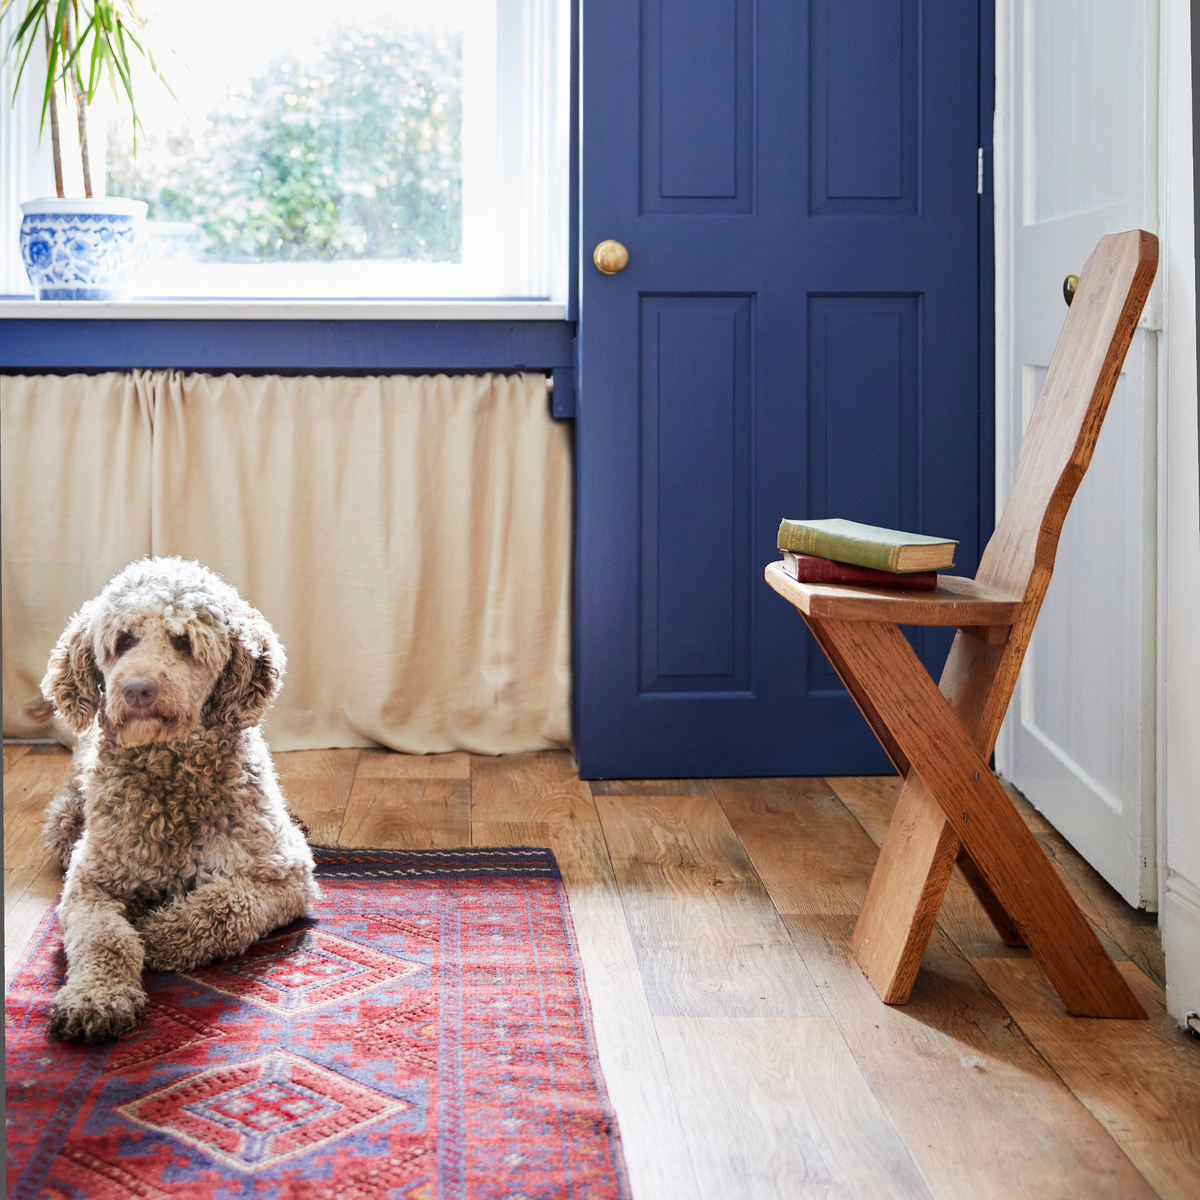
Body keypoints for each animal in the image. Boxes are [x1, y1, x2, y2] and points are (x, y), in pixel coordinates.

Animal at [40, 559, 316, 1041]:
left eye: (184, 642)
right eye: (123, 641)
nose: (137, 689)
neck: (170, 774)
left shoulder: (286, 873)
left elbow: (226, 906)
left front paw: (157, 935)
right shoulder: (91, 881)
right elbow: (103, 938)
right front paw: (95, 998)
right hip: (63, 826)